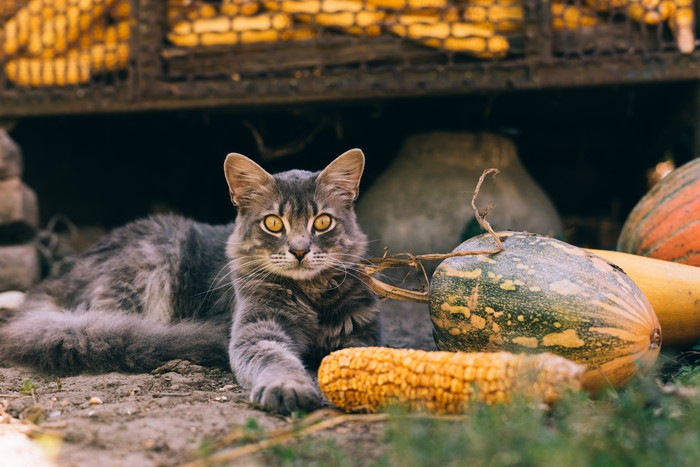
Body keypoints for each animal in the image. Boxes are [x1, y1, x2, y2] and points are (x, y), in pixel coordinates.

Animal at [0, 149, 380, 414]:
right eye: (273, 223)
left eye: (322, 222)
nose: (300, 251)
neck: (310, 293)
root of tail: (60, 276)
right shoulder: (257, 330)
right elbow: (276, 359)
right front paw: (289, 388)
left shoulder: (361, 334)